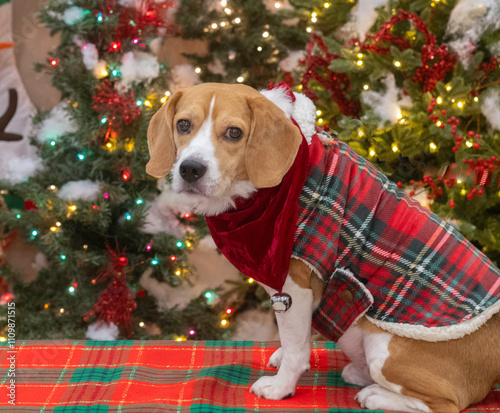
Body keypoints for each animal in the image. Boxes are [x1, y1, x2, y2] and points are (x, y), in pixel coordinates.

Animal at [146, 82, 500, 410]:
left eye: (234, 133)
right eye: (183, 125)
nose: (190, 169)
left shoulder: (294, 289)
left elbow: (296, 348)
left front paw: (281, 387)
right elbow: (296, 338)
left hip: (385, 350)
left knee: (445, 404)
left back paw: (375, 395)